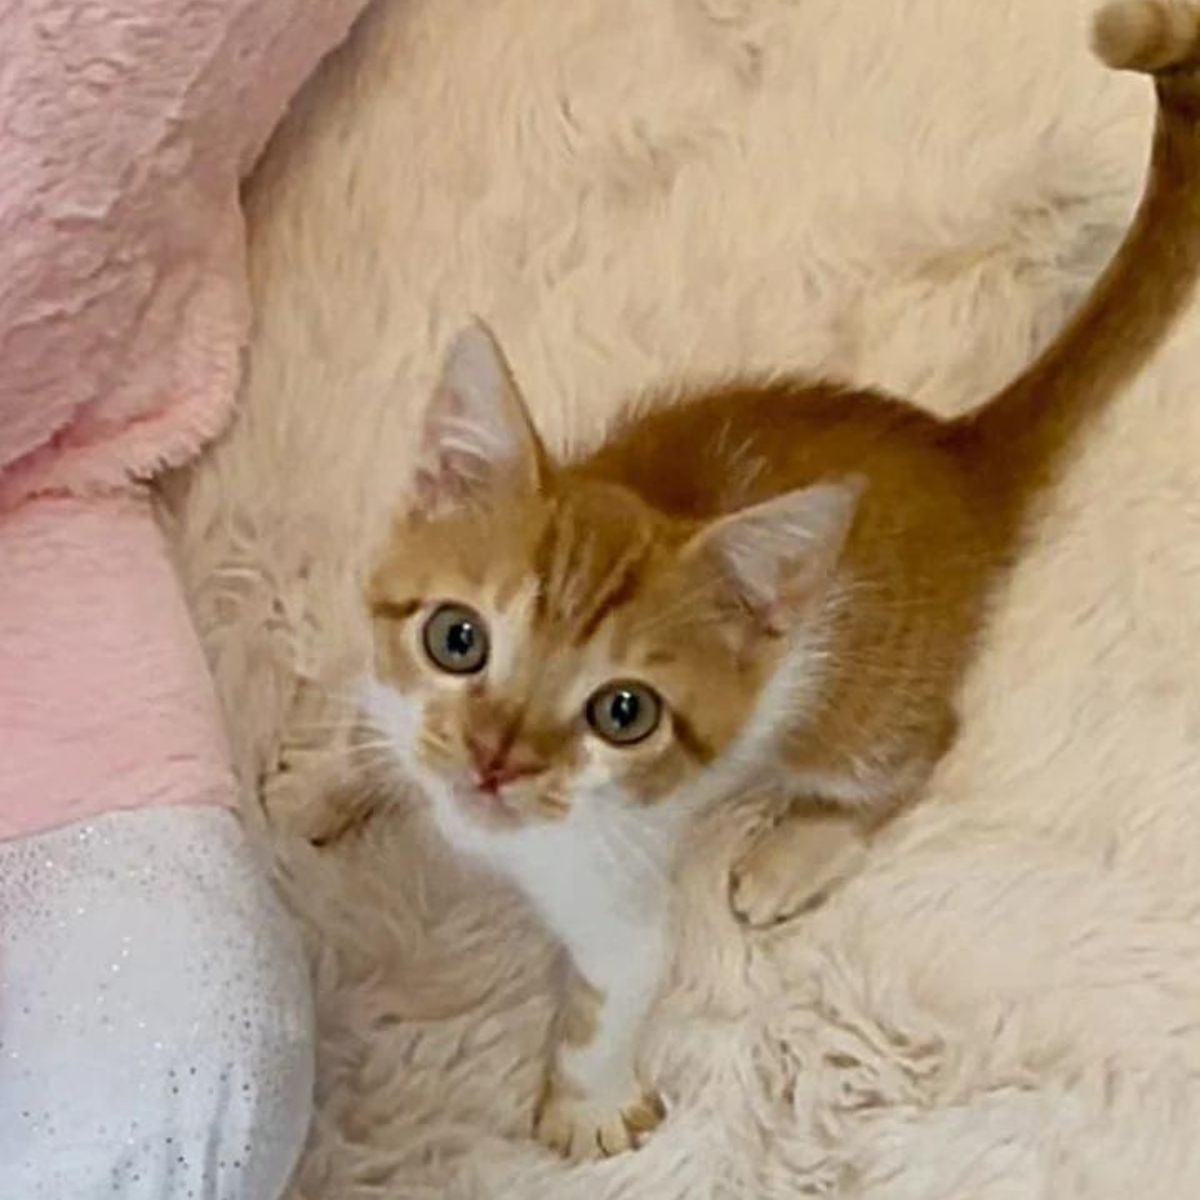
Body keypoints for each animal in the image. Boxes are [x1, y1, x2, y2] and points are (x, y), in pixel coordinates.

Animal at [364, 2, 1200, 1161]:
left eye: (624, 712)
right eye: (458, 638)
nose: (494, 762)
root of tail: (956, 453)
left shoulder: (615, 880)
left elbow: (612, 995)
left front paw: (589, 1104)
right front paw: (312, 781)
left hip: (856, 705)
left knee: (919, 743)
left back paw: (798, 849)